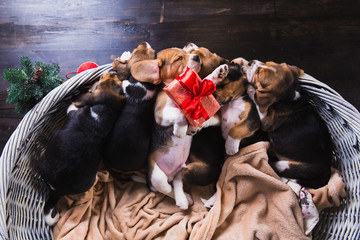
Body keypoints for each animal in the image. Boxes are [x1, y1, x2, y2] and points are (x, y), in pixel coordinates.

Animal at [36, 71, 124, 225]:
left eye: (101, 79)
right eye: (117, 84)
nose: (112, 72)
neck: (103, 110)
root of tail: (56, 190)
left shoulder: (72, 110)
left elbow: (72, 106)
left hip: (44, 158)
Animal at [240, 58, 334, 189]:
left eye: (258, 74)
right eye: (266, 62)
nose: (250, 62)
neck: (288, 95)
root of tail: (327, 172)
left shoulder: (266, 120)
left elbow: (257, 100)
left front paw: (251, 89)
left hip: (286, 165)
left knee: (273, 166)